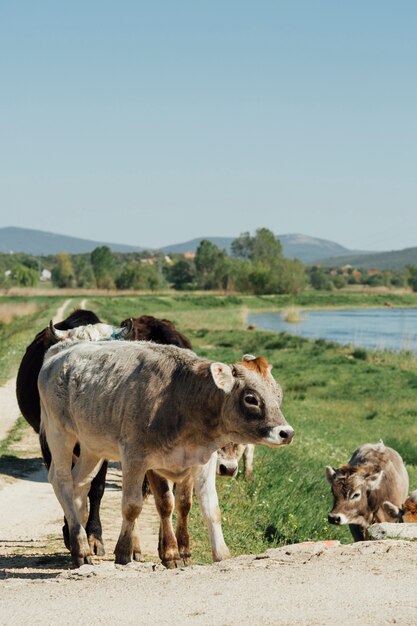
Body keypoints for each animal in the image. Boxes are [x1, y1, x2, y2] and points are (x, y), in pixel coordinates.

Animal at [39, 338, 292, 568]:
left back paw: (78, 541)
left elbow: (209, 508)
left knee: (80, 483)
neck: (181, 397)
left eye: (278, 396)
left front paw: (221, 556)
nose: (286, 432)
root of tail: (61, 348)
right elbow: (139, 506)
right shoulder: (137, 458)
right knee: (61, 480)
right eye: (251, 398)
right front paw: (132, 553)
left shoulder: (202, 462)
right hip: (59, 433)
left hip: (92, 446)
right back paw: (81, 546)